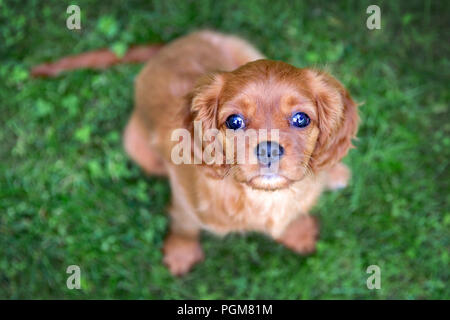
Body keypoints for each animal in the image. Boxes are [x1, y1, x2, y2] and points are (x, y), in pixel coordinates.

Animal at [123, 30, 358, 276]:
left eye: (301, 118)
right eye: (234, 121)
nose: (268, 150)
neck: (263, 197)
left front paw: (298, 232)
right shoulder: (183, 199)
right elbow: (184, 224)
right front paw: (181, 252)